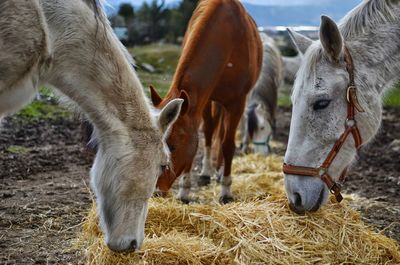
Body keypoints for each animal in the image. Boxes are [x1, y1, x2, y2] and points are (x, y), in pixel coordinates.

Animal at [150, 0, 262, 203]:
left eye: (173, 146)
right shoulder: (202, 100)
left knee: (223, 135)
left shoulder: (237, 102)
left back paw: (219, 172)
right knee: (212, 132)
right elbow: (204, 135)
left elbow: (228, 144)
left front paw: (226, 189)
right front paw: (185, 189)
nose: (156, 190)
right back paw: (207, 172)